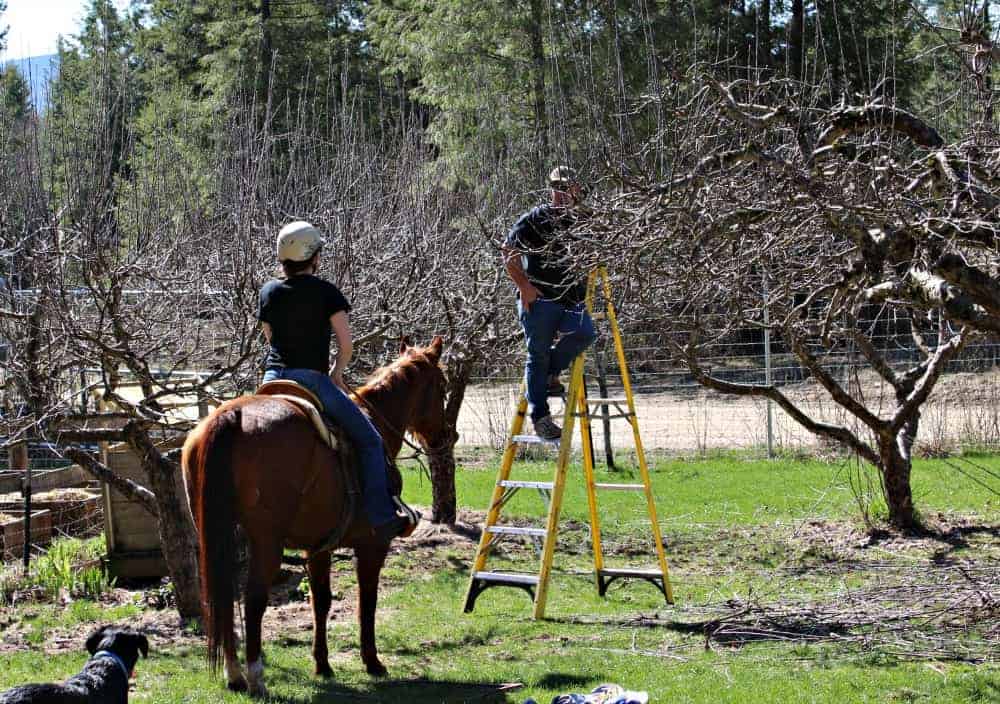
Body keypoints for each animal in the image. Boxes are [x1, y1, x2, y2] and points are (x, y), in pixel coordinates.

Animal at [181, 338, 446, 696]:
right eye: (443, 386)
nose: (447, 437)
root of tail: (232, 416)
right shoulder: (373, 544)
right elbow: (368, 598)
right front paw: (372, 662)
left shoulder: (318, 547)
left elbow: (321, 601)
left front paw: (323, 664)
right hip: (266, 541)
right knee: (253, 600)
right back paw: (255, 677)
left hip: (217, 534)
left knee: (224, 598)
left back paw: (234, 674)